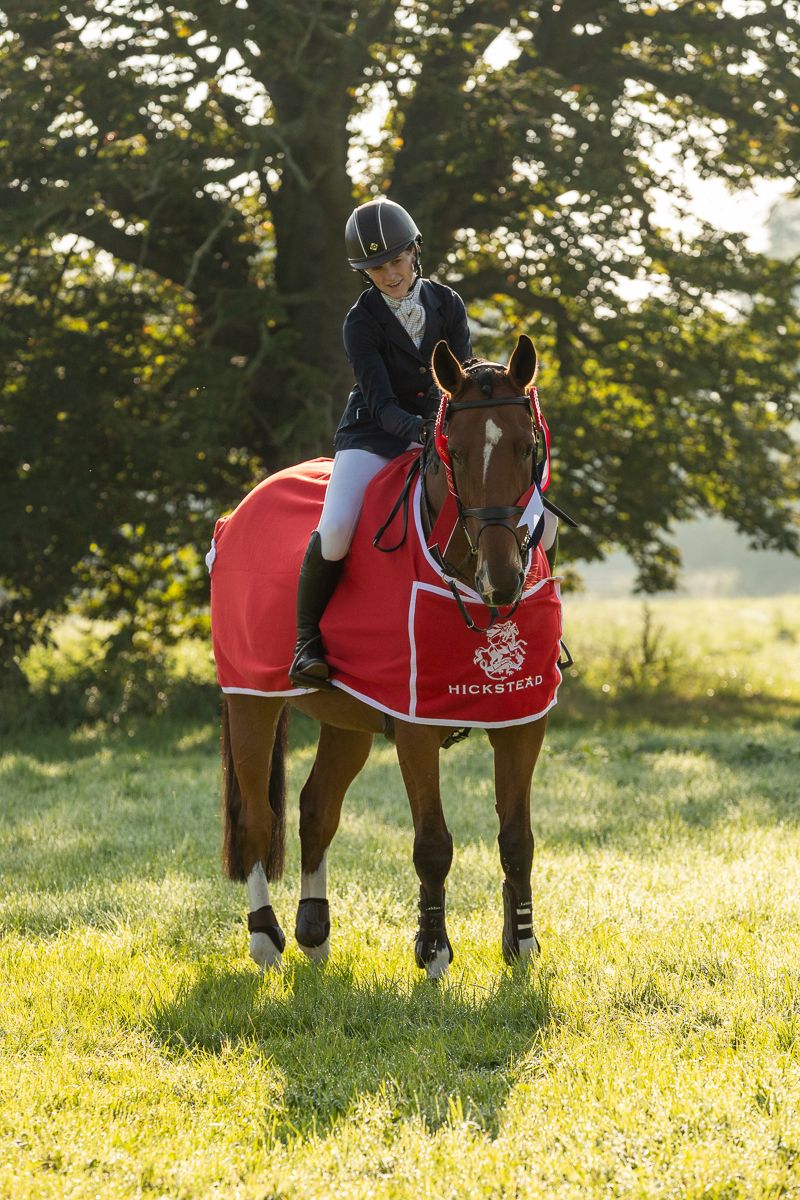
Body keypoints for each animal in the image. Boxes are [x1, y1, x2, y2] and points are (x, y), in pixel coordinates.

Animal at [214, 334, 563, 979]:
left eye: (527, 447)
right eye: (456, 452)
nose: (500, 581)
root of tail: (236, 515)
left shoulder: (522, 721)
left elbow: (516, 840)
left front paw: (522, 944)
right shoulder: (415, 729)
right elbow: (433, 844)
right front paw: (433, 951)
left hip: (346, 718)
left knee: (316, 809)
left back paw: (315, 933)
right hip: (250, 701)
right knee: (256, 817)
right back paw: (266, 939)